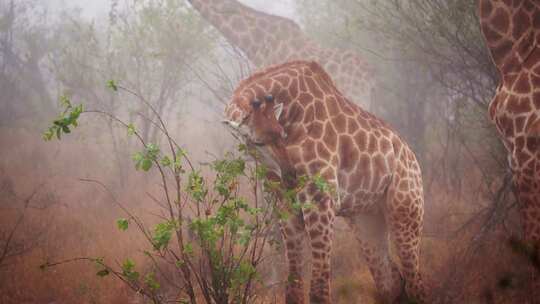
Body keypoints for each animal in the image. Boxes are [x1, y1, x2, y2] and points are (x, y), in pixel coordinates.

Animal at [223, 60, 426, 302]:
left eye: (282, 134)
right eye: (258, 142)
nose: (290, 175)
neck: (294, 114)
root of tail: (413, 159)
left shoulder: (322, 203)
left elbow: (319, 290)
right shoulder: (285, 208)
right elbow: (293, 289)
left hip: (406, 212)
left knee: (416, 283)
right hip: (367, 219)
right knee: (393, 281)